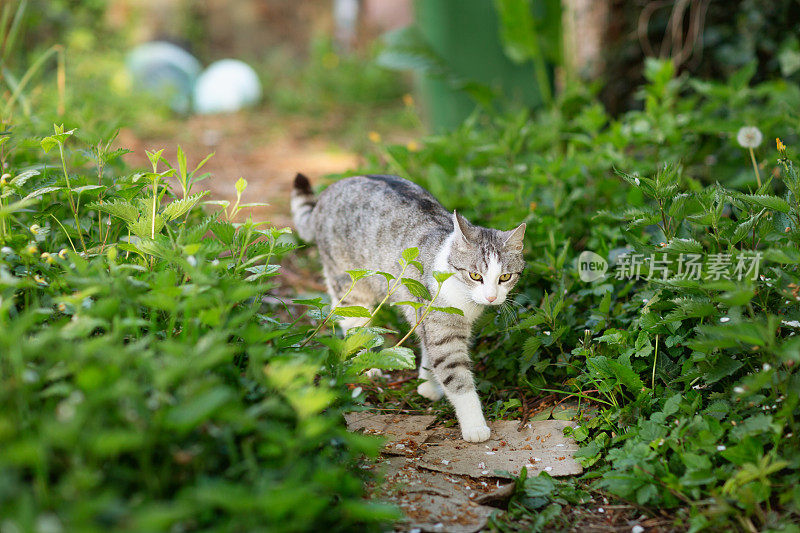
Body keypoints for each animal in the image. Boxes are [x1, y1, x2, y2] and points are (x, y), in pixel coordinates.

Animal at [292, 172, 524, 442]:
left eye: (505, 277)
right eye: (475, 276)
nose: (491, 297)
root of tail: (329, 191)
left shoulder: (427, 317)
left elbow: (426, 346)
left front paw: (426, 384)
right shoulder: (442, 327)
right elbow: (456, 376)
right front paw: (475, 427)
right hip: (350, 283)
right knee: (350, 318)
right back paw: (366, 363)